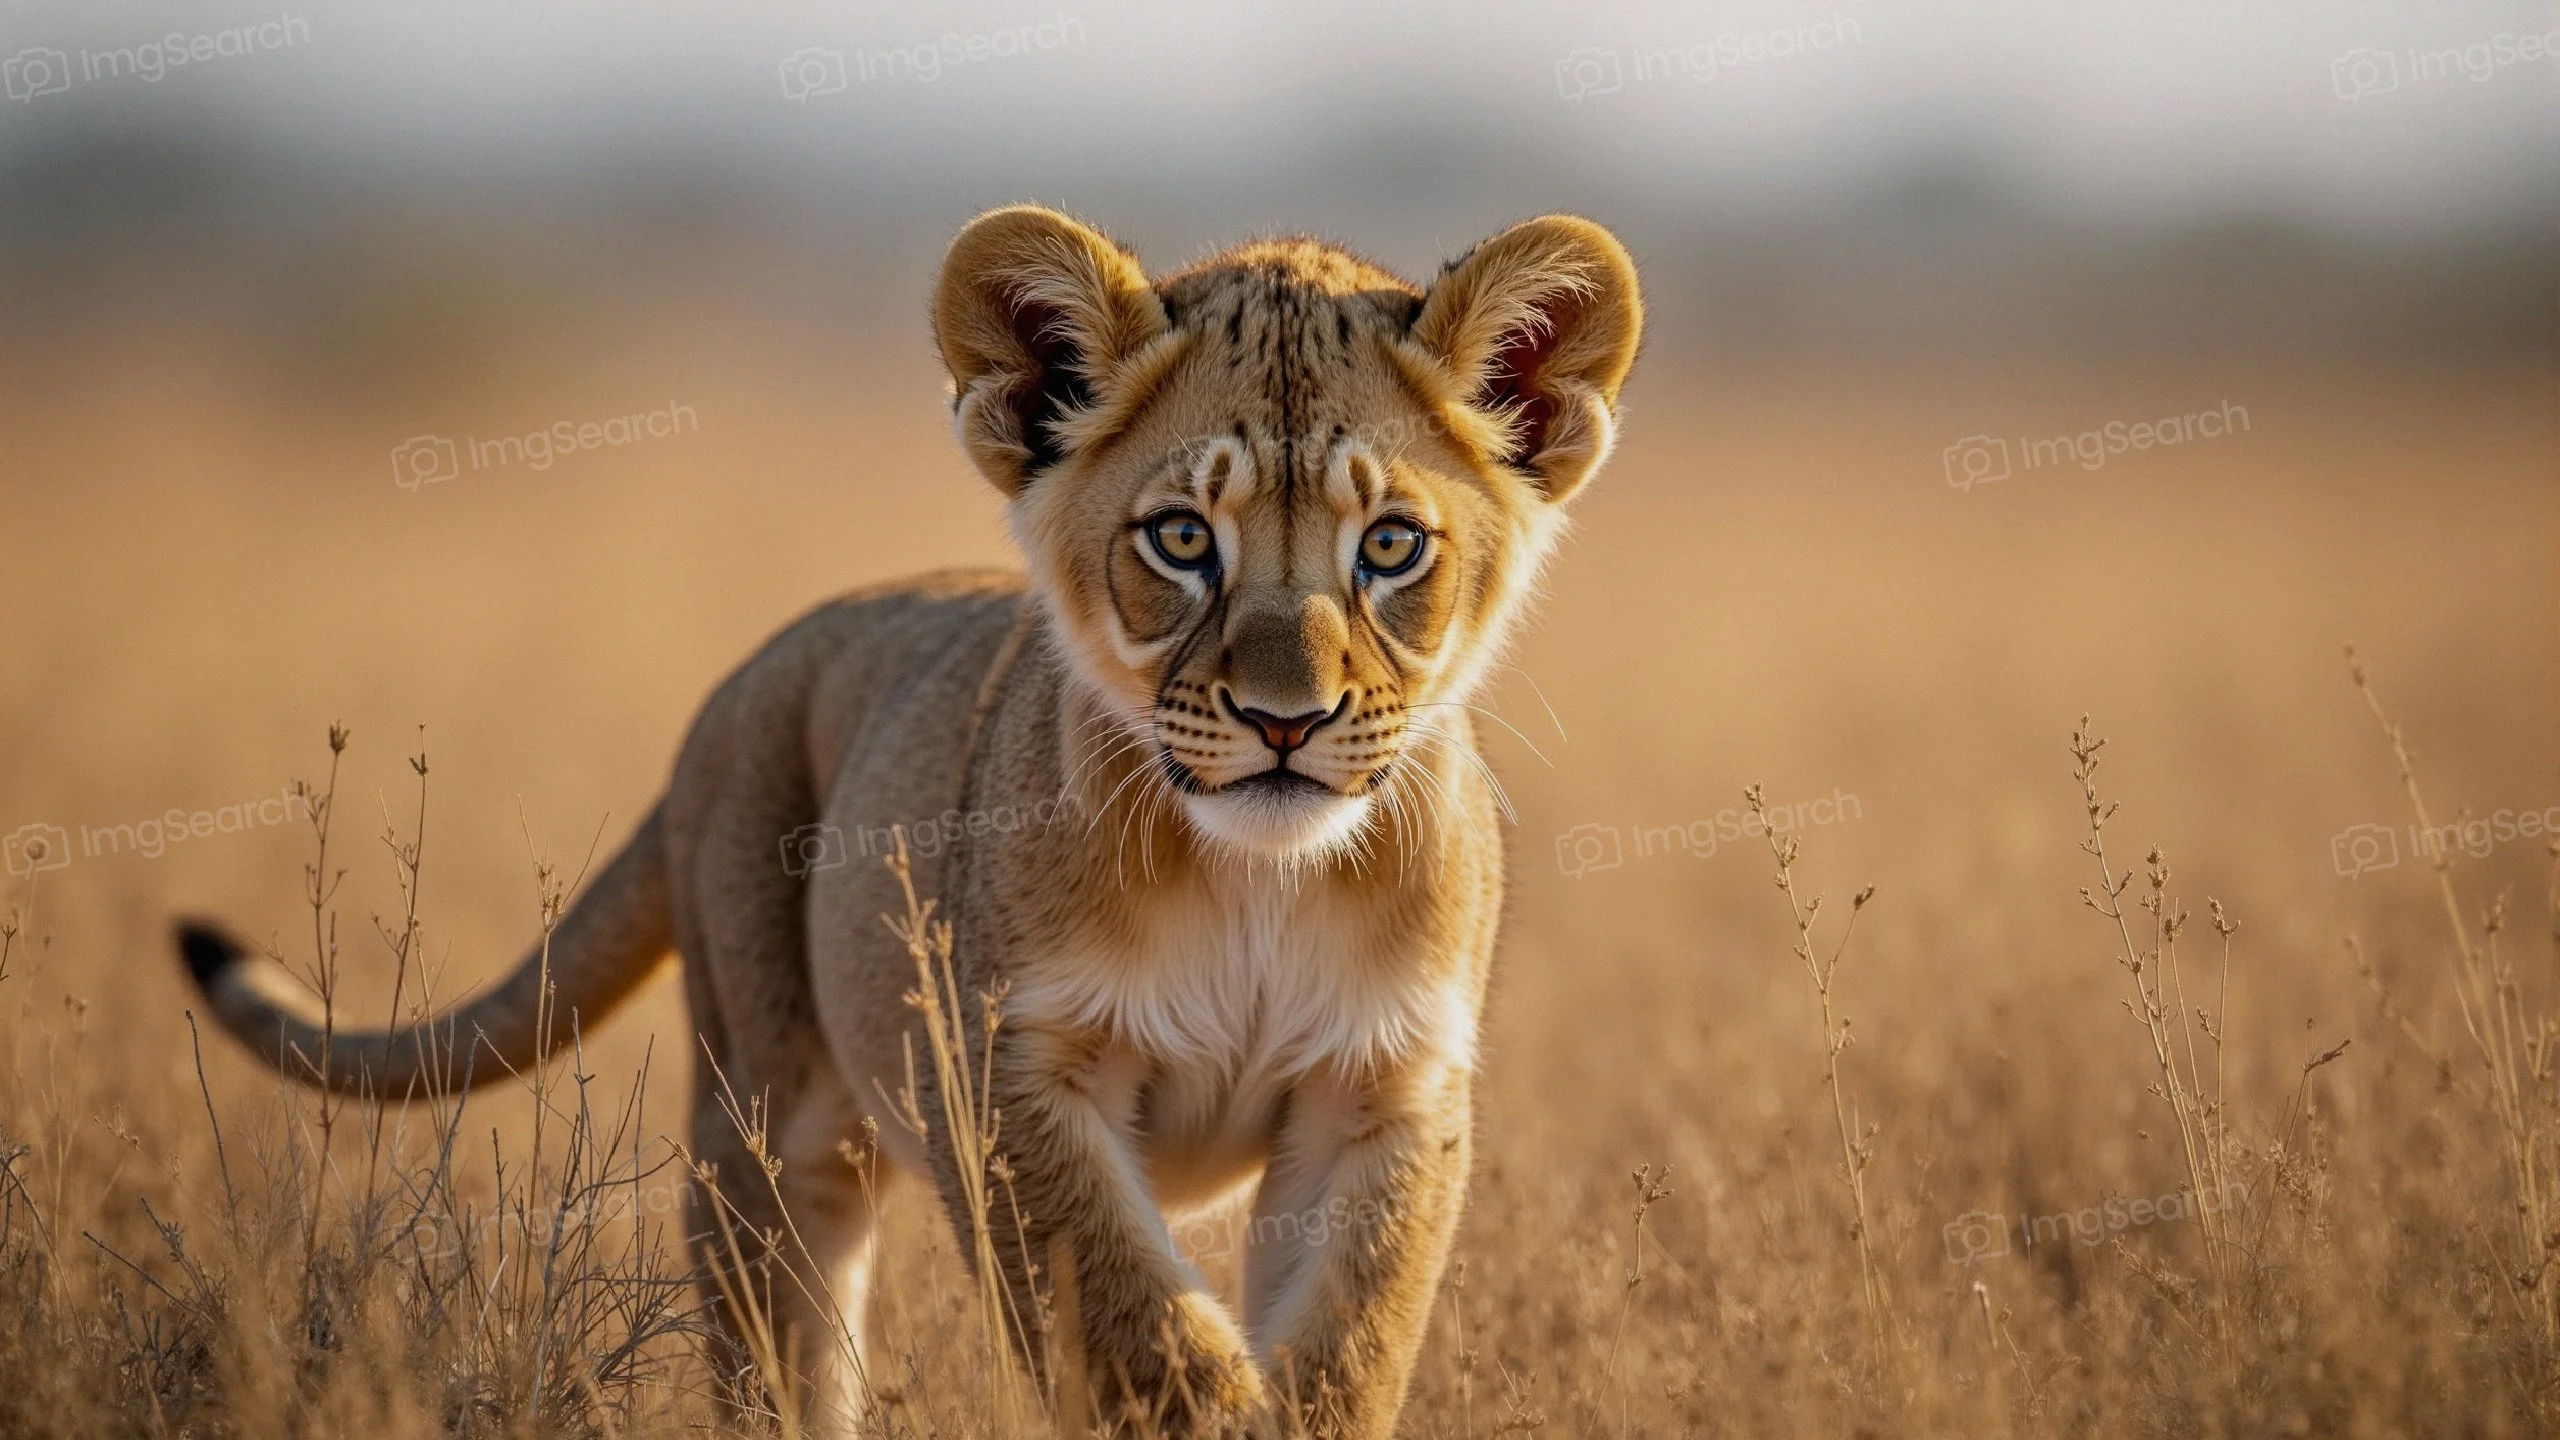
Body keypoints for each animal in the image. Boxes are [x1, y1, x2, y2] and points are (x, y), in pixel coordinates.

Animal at [176, 205, 1642, 1437]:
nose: (1286, 721)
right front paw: (1212, 1405)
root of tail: (743, 682)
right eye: (1181, 540)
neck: (1256, 882)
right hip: (769, 1118)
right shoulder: (1005, 1066)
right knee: (782, 1340)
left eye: (1390, 547)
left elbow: (1350, 1341)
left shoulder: (1383, 1090)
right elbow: (1131, 1321)